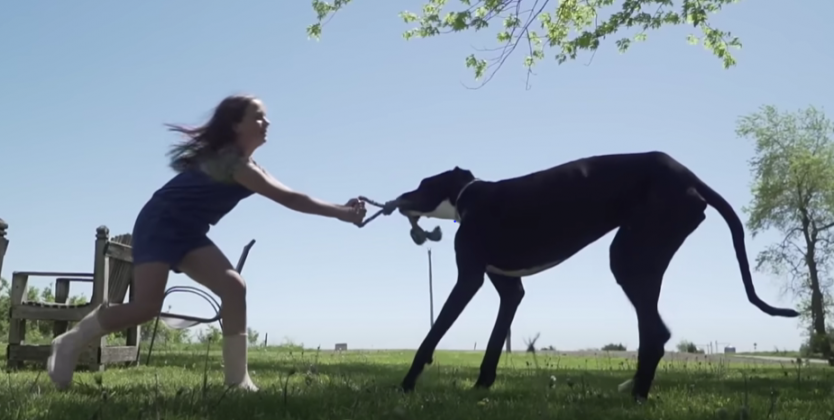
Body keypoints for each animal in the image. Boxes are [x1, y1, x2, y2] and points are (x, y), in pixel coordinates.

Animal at [386, 150, 796, 400]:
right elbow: (494, 340)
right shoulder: (509, 286)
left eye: (423, 184)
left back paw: (637, 396)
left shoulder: (469, 277)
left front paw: (406, 385)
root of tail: (690, 176)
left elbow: (433, 335)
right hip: (644, 255)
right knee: (653, 331)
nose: (399, 199)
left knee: (655, 333)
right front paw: (481, 385)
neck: (468, 197)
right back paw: (636, 390)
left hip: (628, 256)